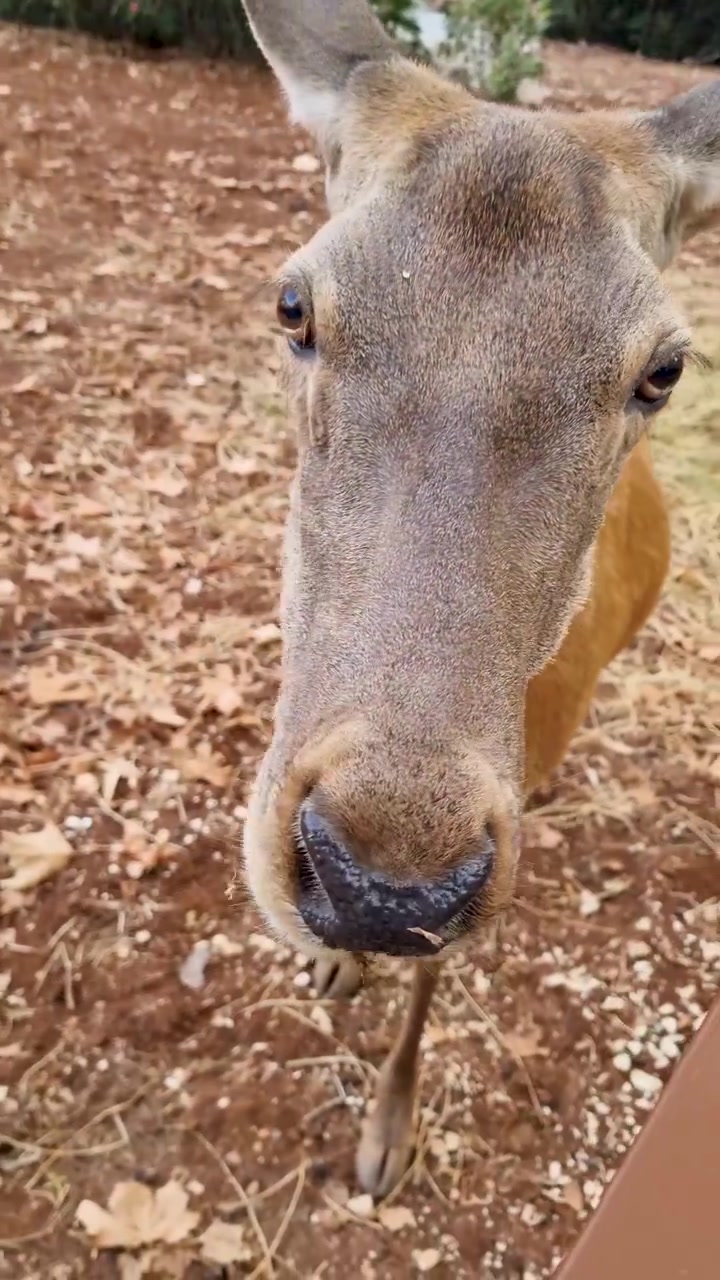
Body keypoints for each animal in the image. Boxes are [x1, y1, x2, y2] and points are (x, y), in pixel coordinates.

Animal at [239, 0, 719, 1198]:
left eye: (665, 370)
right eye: (292, 302)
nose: (385, 882)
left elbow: (432, 983)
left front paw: (387, 1135)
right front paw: (333, 965)